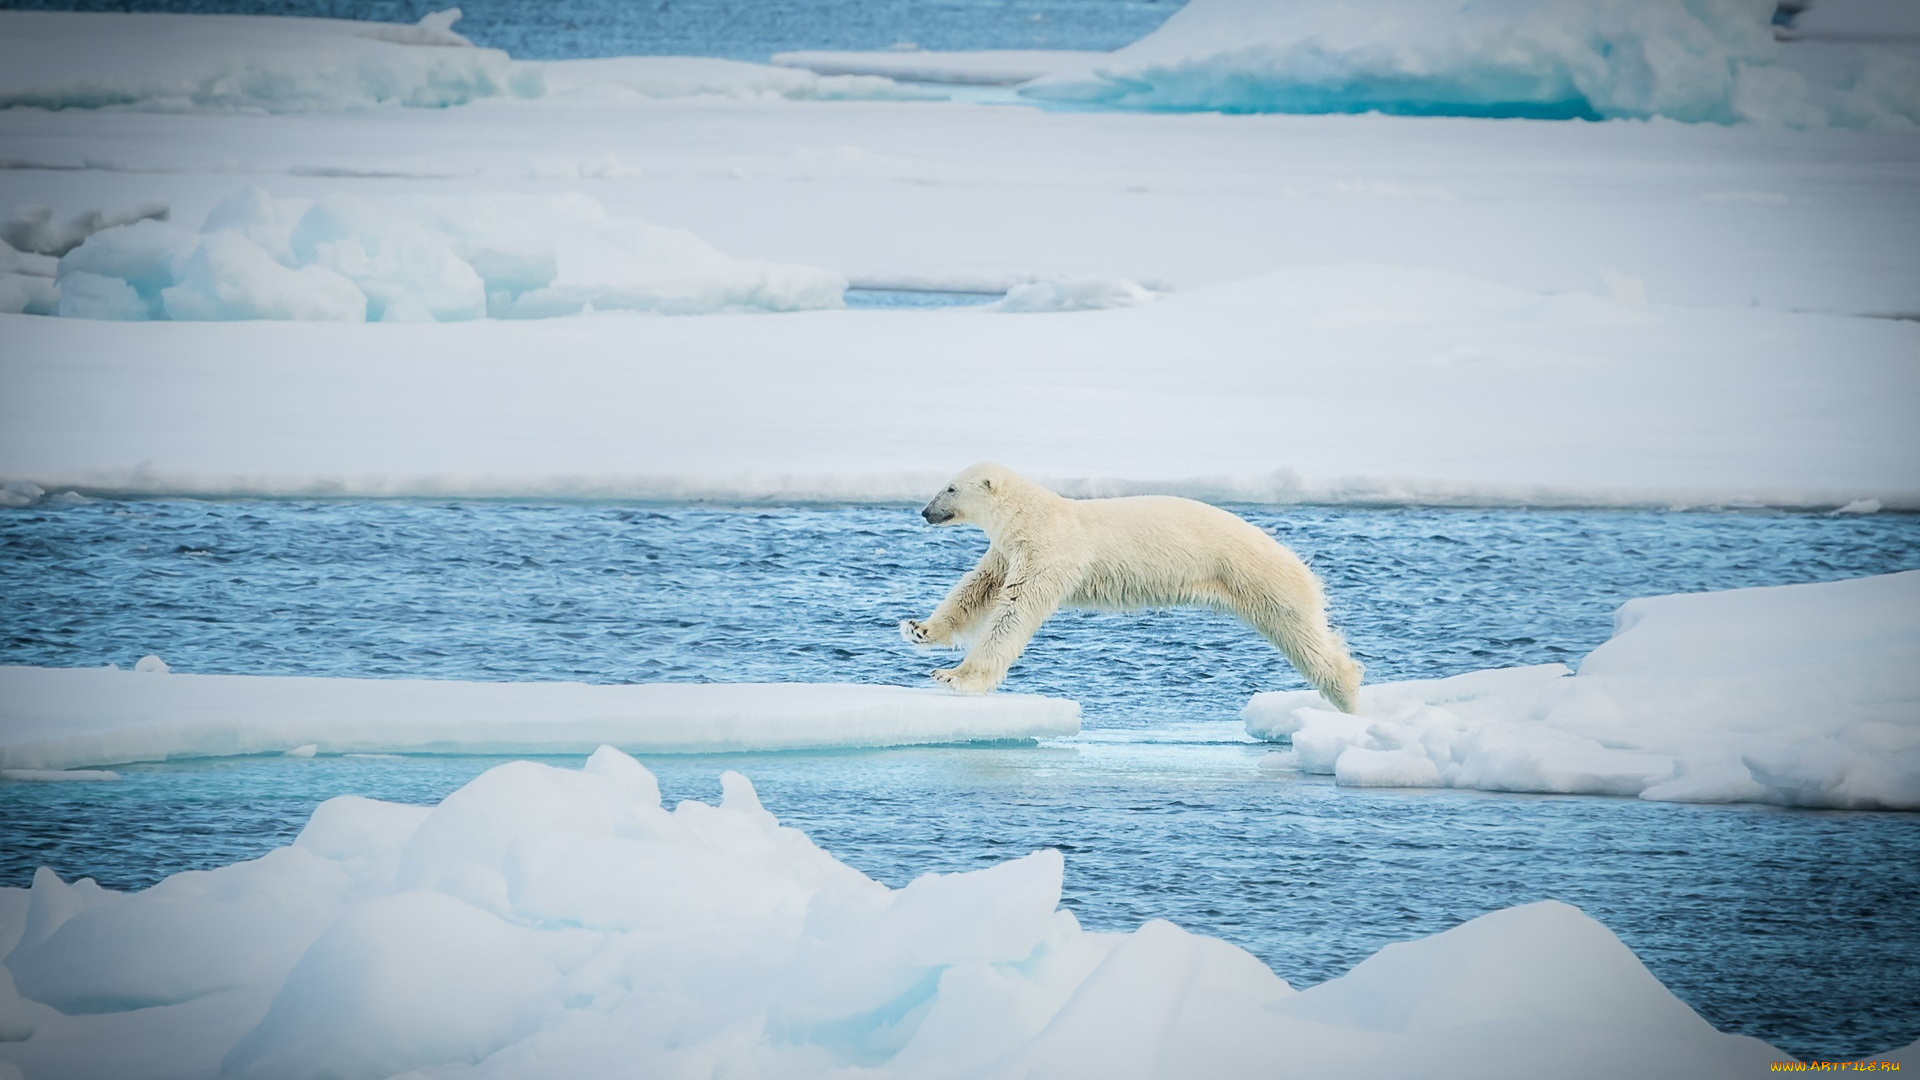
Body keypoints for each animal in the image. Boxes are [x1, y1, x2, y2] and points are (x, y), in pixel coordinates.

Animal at [902, 461, 1367, 707]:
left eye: (950, 487)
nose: (925, 512)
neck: (1032, 517)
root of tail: (1299, 563)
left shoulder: (1049, 552)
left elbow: (1013, 611)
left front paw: (954, 676)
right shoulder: (1007, 552)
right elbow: (978, 589)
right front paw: (918, 629)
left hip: (1258, 576)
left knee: (1303, 636)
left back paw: (1347, 691)